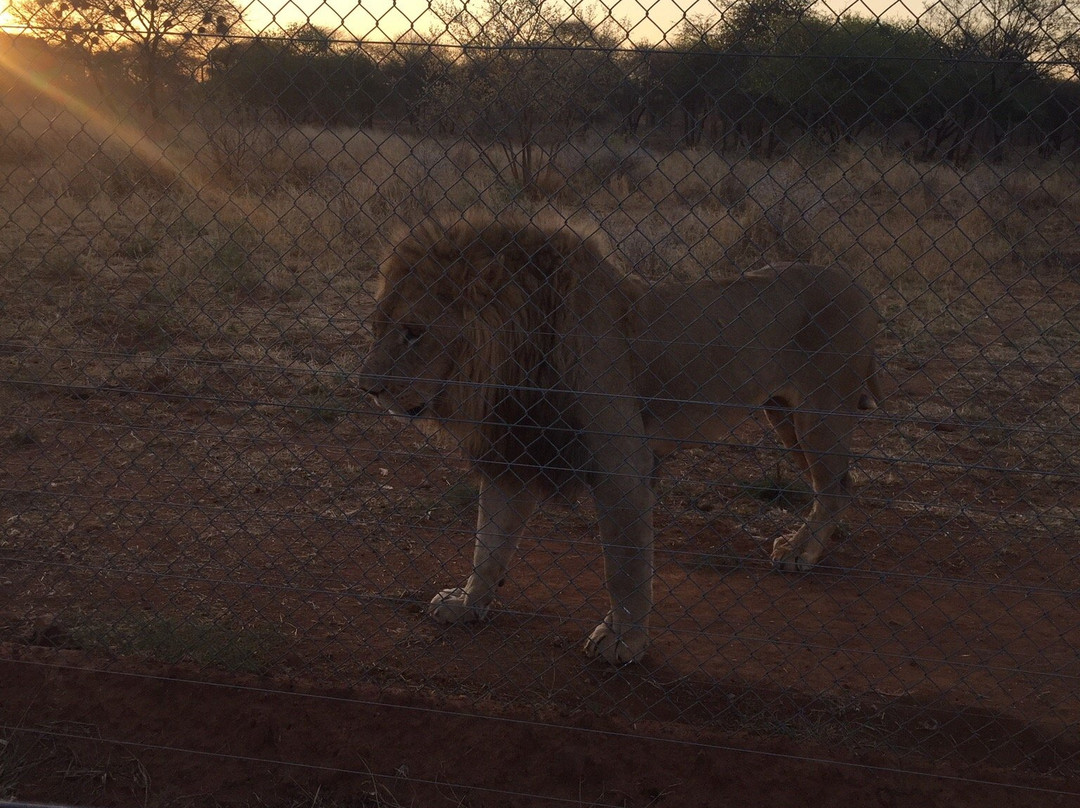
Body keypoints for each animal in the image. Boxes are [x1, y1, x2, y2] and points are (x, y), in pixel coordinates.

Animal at [358, 211, 881, 665]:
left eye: (413, 332)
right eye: (377, 327)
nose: (366, 387)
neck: (509, 362)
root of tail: (856, 284)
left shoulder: (622, 465)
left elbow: (624, 566)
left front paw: (622, 640)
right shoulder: (515, 455)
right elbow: (488, 546)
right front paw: (466, 604)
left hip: (818, 416)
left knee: (836, 487)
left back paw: (797, 553)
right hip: (782, 414)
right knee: (836, 485)